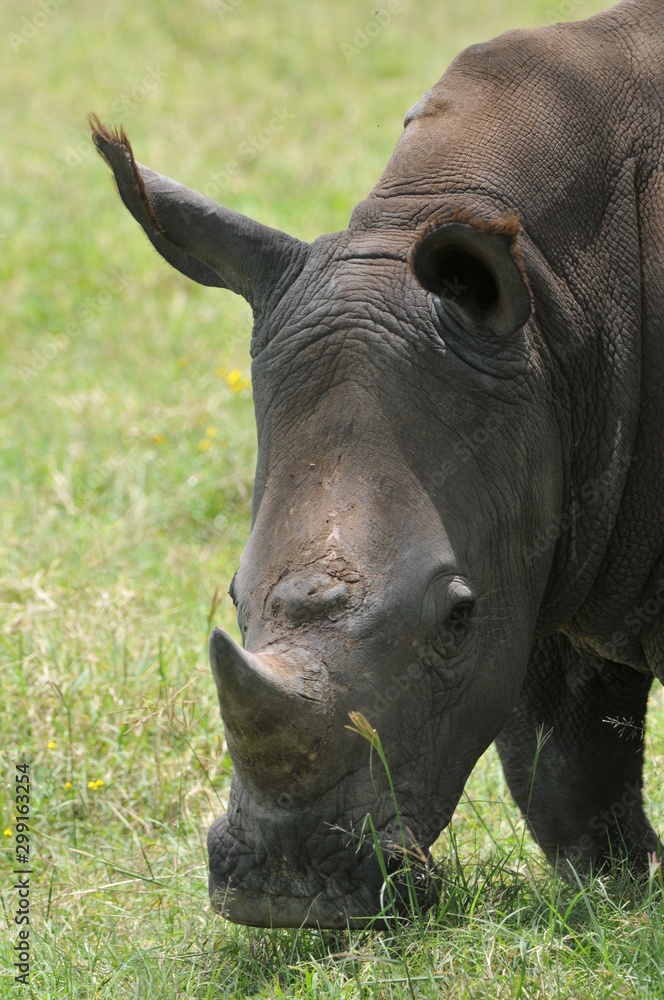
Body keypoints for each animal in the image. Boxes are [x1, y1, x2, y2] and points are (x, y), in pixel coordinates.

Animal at [92, 0, 663, 928]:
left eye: (455, 618)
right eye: (232, 599)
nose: (284, 893)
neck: (559, 309)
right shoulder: (544, 511)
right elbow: (562, 768)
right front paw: (622, 901)